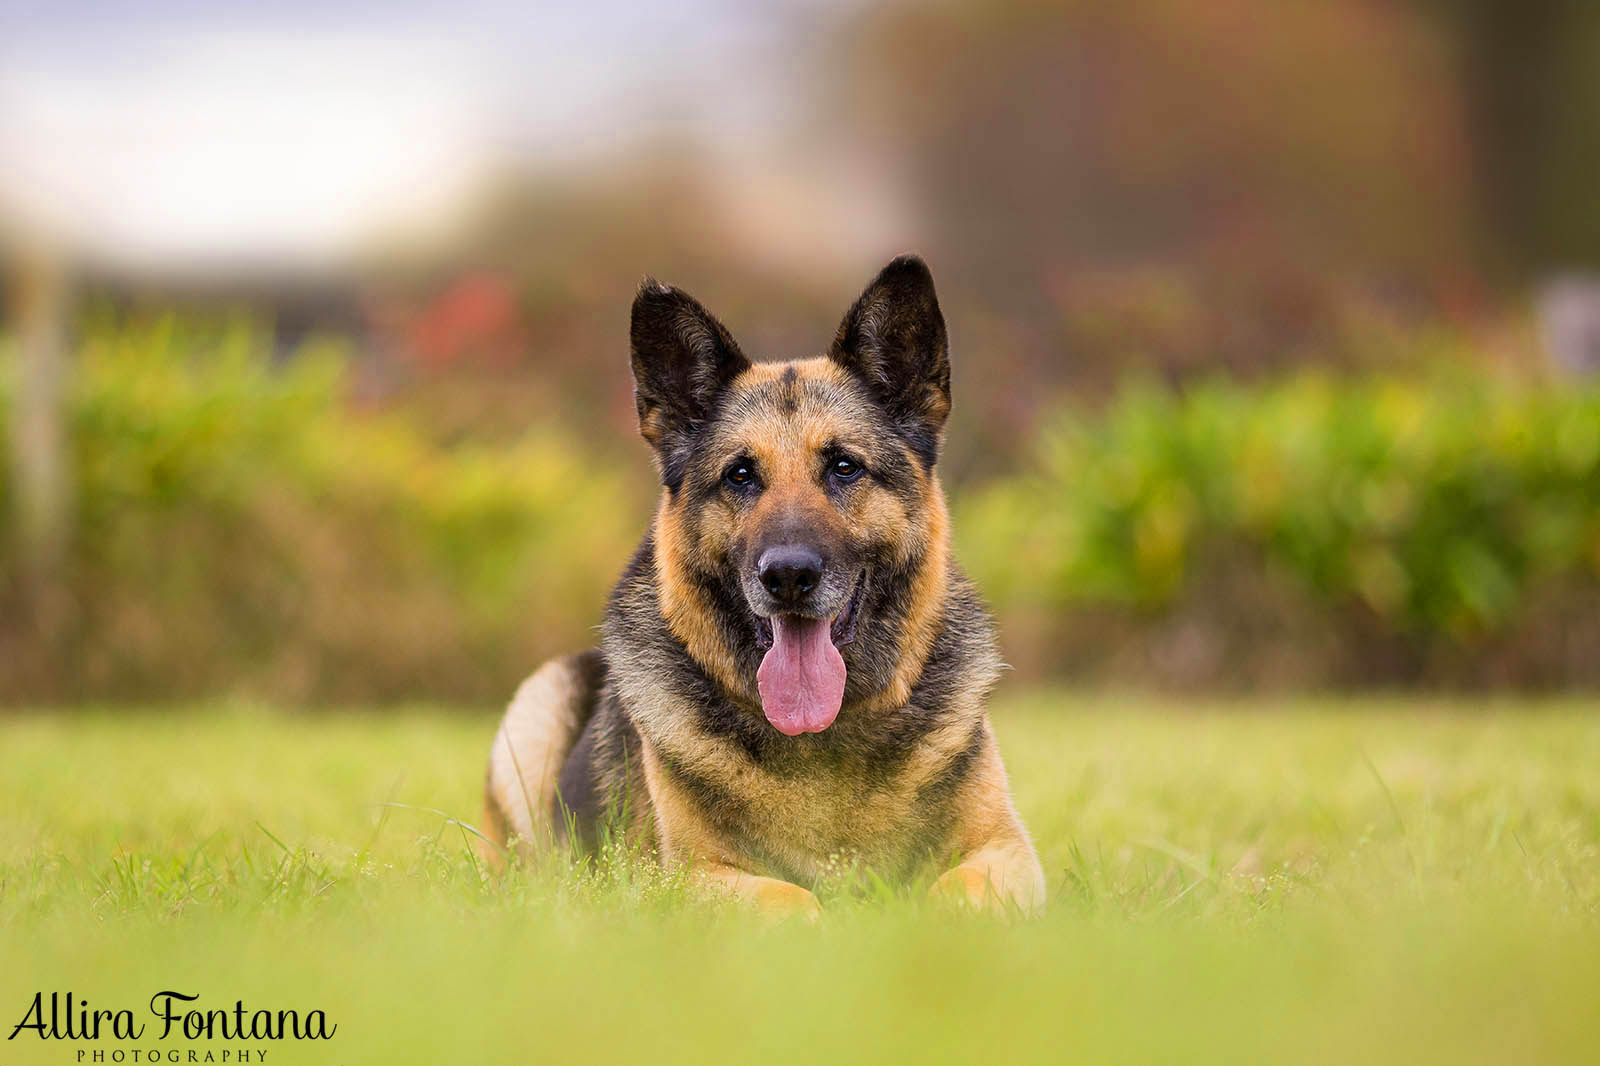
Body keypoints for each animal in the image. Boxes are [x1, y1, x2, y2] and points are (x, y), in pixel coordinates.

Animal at [480, 257, 1043, 915]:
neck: (826, 735)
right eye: (740, 475)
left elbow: (952, 894)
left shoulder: (1005, 850)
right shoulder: (686, 876)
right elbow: (794, 900)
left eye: (844, 467)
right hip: (539, 705)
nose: (788, 577)